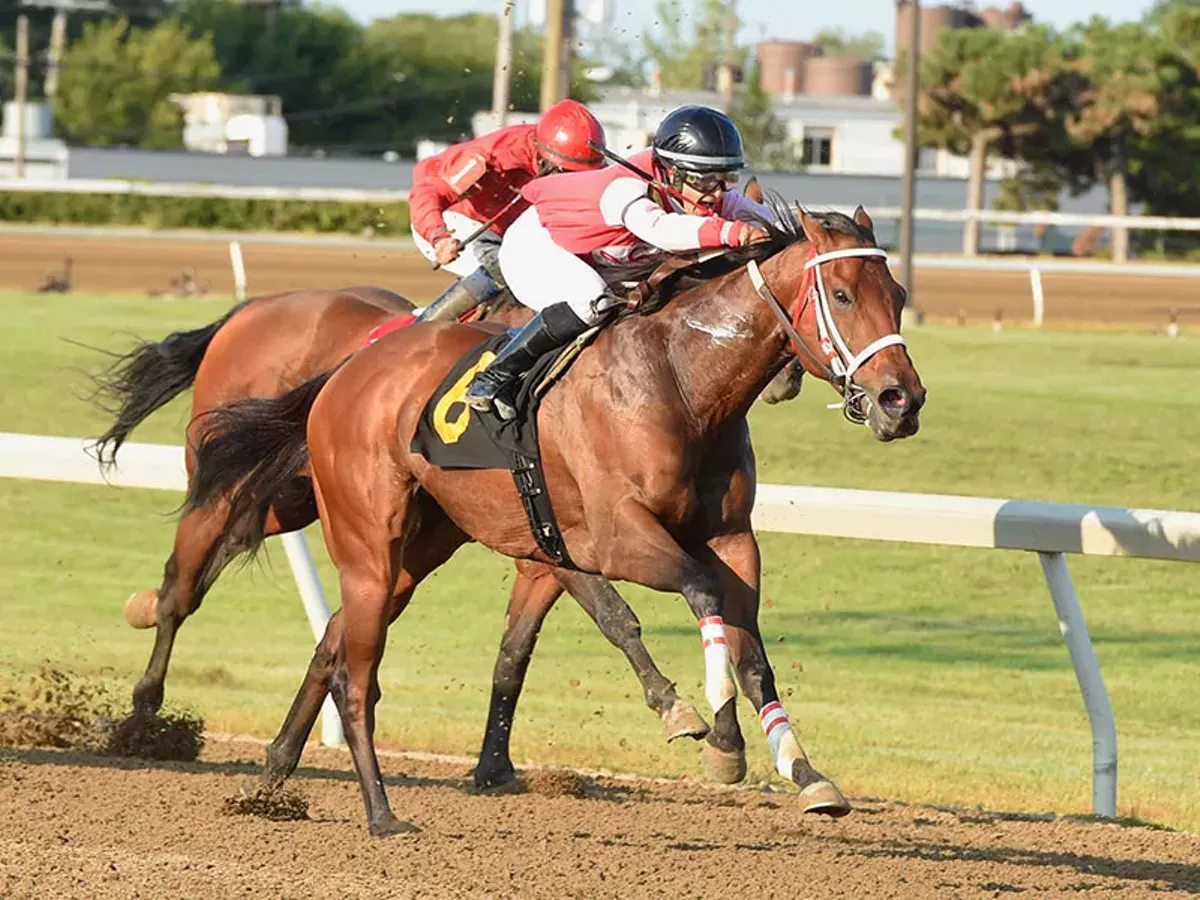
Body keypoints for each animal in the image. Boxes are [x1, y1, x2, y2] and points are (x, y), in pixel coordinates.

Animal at [91, 280, 806, 763]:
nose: (790, 379)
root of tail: (250, 311)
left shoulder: (544, 545)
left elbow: (518, 649)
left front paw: (494, 767)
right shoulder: (564, 531)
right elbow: (615, 617)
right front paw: (681, 710)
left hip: (289, 498)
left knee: (223, 565)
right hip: (243, 482)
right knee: (185, 584)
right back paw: (144, 710)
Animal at [189, 200, 926, 835]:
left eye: (897, 296)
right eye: (842, 296)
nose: (902, 400)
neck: (682, 382)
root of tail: (348, 367)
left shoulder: (730, 538)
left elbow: (752, 656)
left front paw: (803, 772)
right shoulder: (607, 537)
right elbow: (680, 598)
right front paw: (705, 726)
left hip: (417, 547)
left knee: (335, 642)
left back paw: (274, 773)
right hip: (369, 539)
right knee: (353, 671)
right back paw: (380, 812)